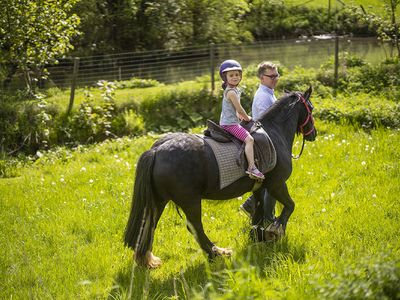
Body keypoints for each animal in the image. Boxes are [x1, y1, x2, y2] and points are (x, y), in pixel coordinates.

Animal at [123, 85, 318, 268]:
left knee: (148, 225)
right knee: (195, 227)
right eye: (311, 107)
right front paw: (275, 231)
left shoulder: (259, 187)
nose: (314, 134)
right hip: (189, 200)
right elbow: (290, 206)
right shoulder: (277, 184)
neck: (274, 134)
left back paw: (147, 260)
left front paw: (258, 236)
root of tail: (156, 151)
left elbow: (259, 213)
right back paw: (216, 253)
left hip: (158, 200)